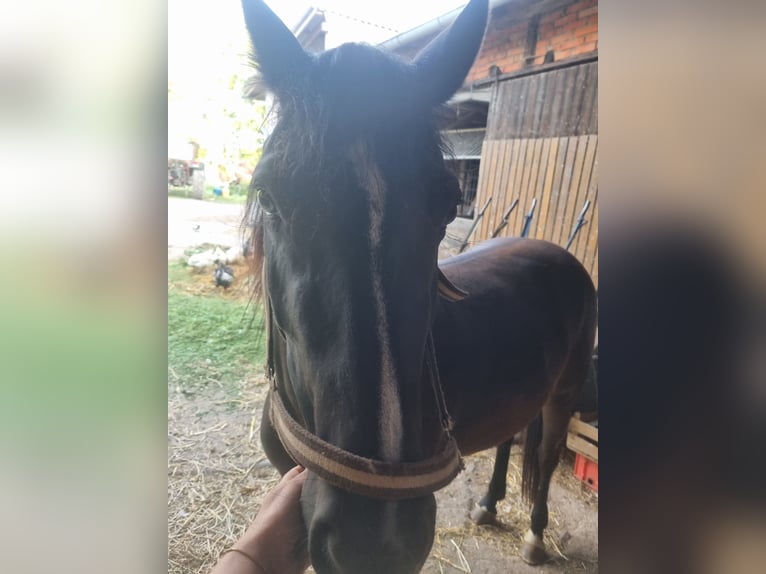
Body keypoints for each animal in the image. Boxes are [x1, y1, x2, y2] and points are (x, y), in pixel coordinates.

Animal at [243, 2, 596, 572]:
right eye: (269, 197)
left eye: (449, 203)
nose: (374, 542)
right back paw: (487, 505)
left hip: (563, 396)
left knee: (544, 456)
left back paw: (535, 534)